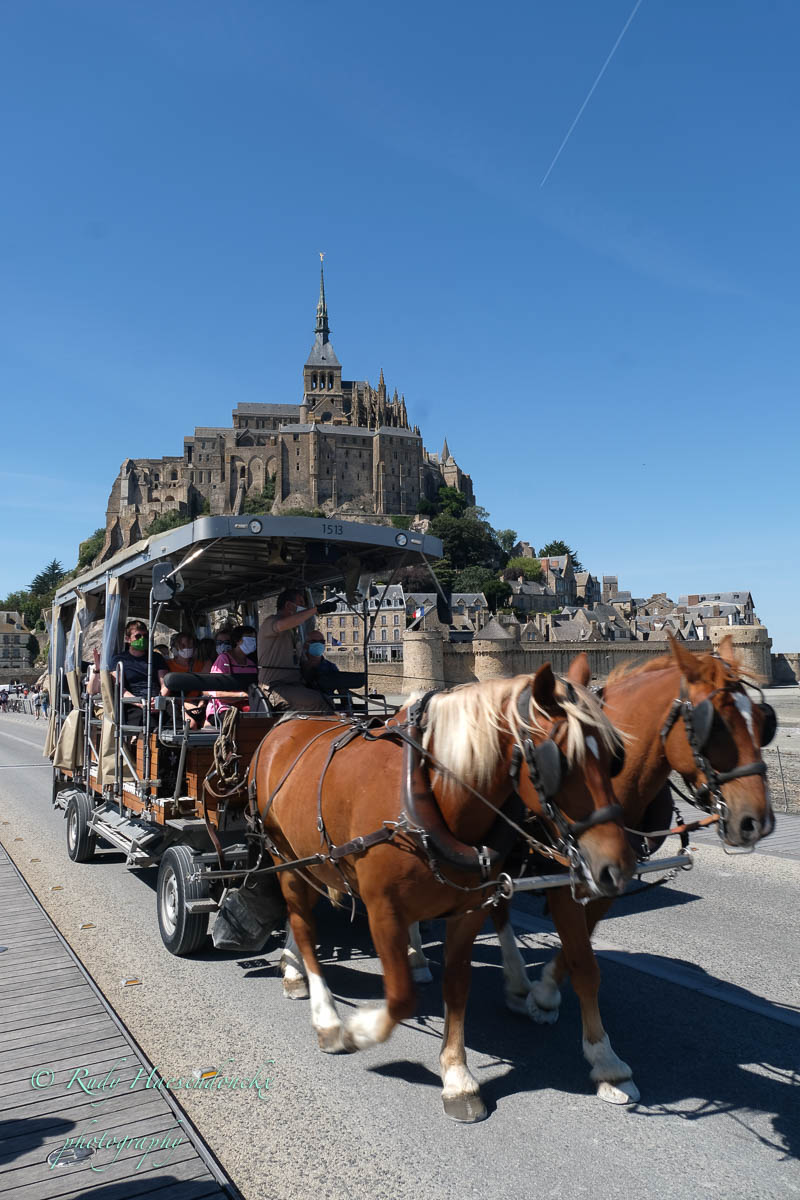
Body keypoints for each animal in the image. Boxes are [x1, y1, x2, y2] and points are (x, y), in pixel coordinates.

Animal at [249, 662, 636, 1122]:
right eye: (559, 762)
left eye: (615, 757)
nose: (617, 868)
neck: (428, 790)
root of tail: (282, 727)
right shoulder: (383, 910)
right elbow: (400, 998)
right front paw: (359, 1030)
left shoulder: (470, 909)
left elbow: (457, 984)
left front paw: (456, 1076)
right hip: (281, 853)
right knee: (305, 926)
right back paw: (325, 1016)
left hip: (309, 860)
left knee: (301, 916)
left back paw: (295, 970)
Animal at [463, 635, 776, 1106]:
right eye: (714, 725)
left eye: (762, 721)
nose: (755, 822)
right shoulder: (563, 881)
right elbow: (586, 965)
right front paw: (606, 1062)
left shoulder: (609, 879)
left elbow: (579, 951)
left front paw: (545, 993)